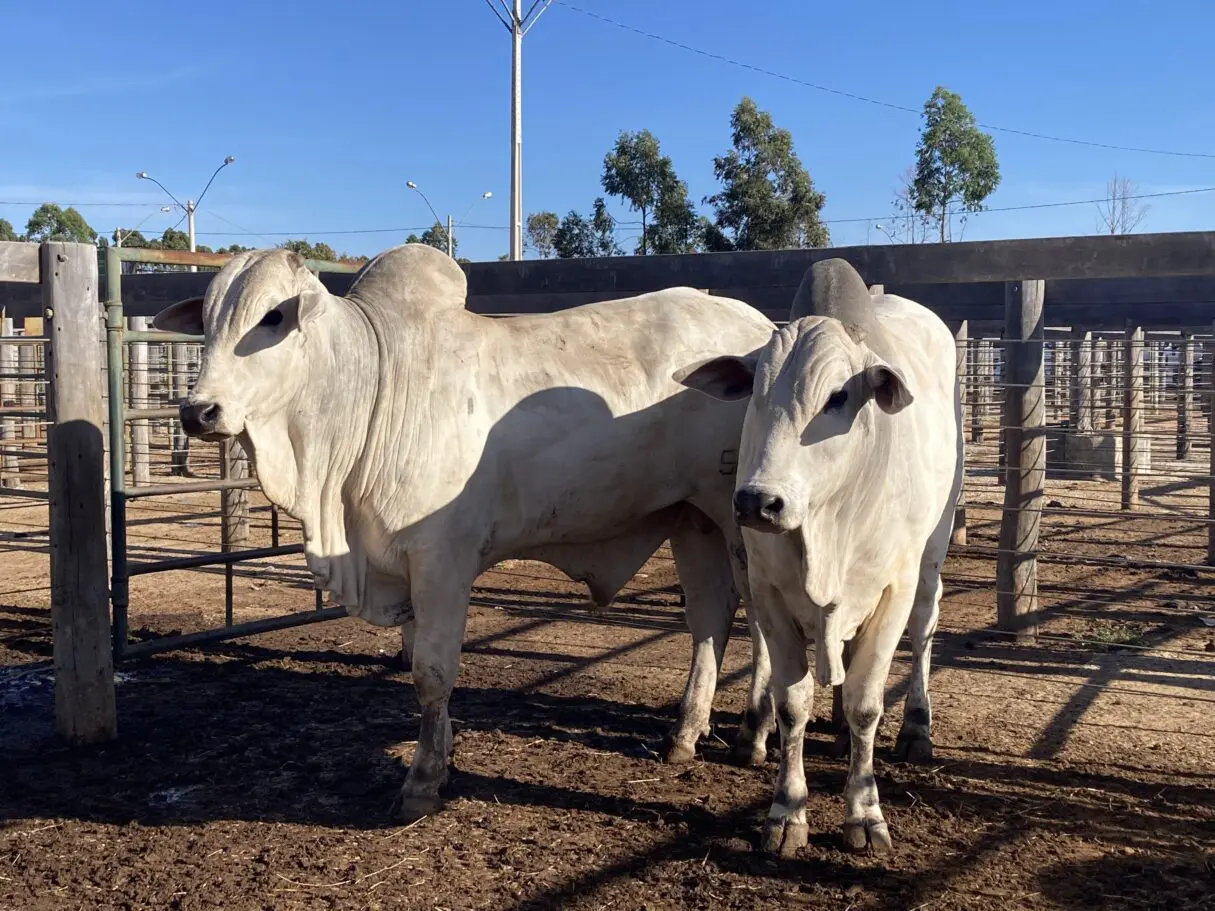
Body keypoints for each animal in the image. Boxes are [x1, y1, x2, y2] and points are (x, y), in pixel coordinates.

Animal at [151, 246, 777, 825]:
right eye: (206, 320)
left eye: (273, 317)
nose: (198, 411)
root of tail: (761, 329)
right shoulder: (399, 567)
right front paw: (444, 756)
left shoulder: (440, 562)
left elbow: (432, 671)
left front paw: (424, 783)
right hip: (693, 519)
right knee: (710, 620)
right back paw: (685, 733)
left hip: (741, 522)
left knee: (762, 623)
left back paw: (752, 735)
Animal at [670, 257, 962, 855]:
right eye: (754, 393)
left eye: (837, 397)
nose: (757, 501)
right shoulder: (770, 592)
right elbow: (792, 702)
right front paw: (787, 811)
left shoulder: (892, 591)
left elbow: (867, 702)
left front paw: (866, 815)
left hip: (933, 552)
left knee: (925, 627)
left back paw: (916, 727)